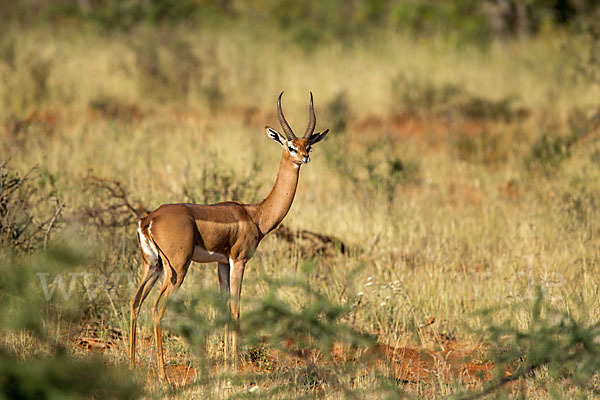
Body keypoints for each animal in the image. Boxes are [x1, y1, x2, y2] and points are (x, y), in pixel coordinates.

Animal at [128, 92, 330, 380]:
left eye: (308, 146)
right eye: (290, 146)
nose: (304, 158)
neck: (255, 214)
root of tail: (148, 220)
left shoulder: (222, 263)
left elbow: (224, 309)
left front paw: (226, 363)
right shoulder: (239, 260)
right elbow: (235, 309)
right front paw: (234, 366)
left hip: (152, 266)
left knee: (135, 302)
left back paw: (132, 366)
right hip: (176, 269)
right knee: (157, 309)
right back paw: (164, 377)